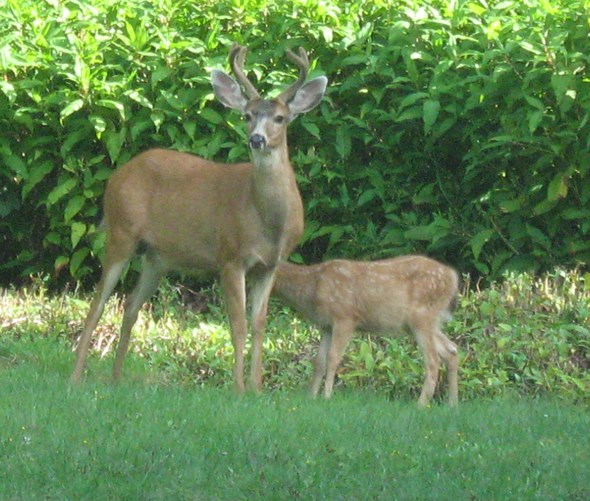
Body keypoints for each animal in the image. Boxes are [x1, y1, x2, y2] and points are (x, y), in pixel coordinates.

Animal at [70, 45, 328, 390]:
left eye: (280, 118)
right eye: (247, 116)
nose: (257, 139)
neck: (267, 221)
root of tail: (117, 176)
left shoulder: (269, 265)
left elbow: (260, 324)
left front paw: (258, 388)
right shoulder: (230, 256)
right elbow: (238, 325)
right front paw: (239, 389)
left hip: (156, 256)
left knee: (130, 305)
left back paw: (116, 378)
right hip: (121, 231)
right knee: (97, 304)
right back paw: (76, 377)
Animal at [272, 256, 462, 404]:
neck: (313, 285)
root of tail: (453, 278)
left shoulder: (345, 317)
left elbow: (333, 357)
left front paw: (326, 397)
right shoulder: (326, 325)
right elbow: (319, 361)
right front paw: (311, 397)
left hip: (422, 317)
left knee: (433, 360)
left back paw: (421, 405)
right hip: (420, 323)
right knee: (451, 350)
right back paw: (452, 404)